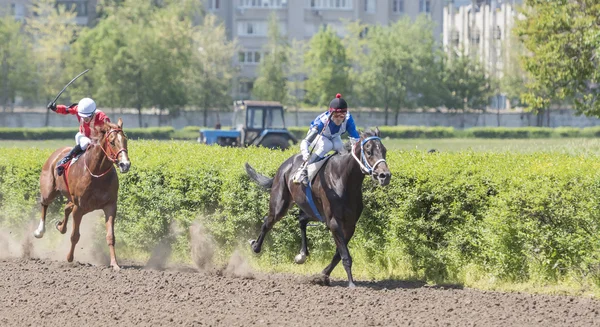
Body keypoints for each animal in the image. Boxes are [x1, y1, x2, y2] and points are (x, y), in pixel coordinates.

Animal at [33, 119, 131, 270]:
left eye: (125, 140)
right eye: (112, 142)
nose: (125, 164)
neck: (97, 172)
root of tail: (56, 153)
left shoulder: (110, 205)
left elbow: (110, 236)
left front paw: (115, 264)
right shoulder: (79, 207)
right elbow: (75, 235)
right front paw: (69, 258)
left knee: (66, 207)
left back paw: (60, 226)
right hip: (49, 189)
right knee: (44, 204)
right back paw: (40, 231)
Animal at [246, 129, 392, 288]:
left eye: (384, 150)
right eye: (369, 151)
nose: (385, 176)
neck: (343, 179)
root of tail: (284, 165)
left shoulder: (350, 224)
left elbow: (338, 254)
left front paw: (323, 275)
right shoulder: (334, 222)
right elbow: (344, 254)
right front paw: (351, 283)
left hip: (312, 209)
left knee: (301, 220)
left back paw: (302, 254)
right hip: (280, 204)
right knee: (268, 222)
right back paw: (255, 246)